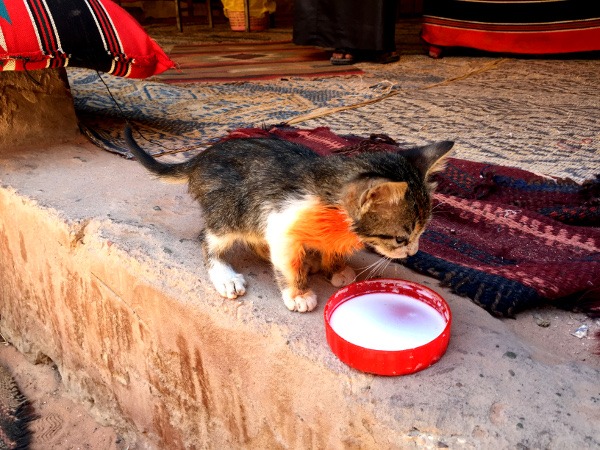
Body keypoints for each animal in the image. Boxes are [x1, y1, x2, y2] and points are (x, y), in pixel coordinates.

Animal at [126, 125, 454, 312]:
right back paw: (226, 276)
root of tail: (202, 156)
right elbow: (285, 260)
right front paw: (298, 294)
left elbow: (328, 247)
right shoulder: (281, 220)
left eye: (422, 232)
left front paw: (336, 267)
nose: (413, 252)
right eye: (400, 238)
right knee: (209, 238)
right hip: (232, 209)